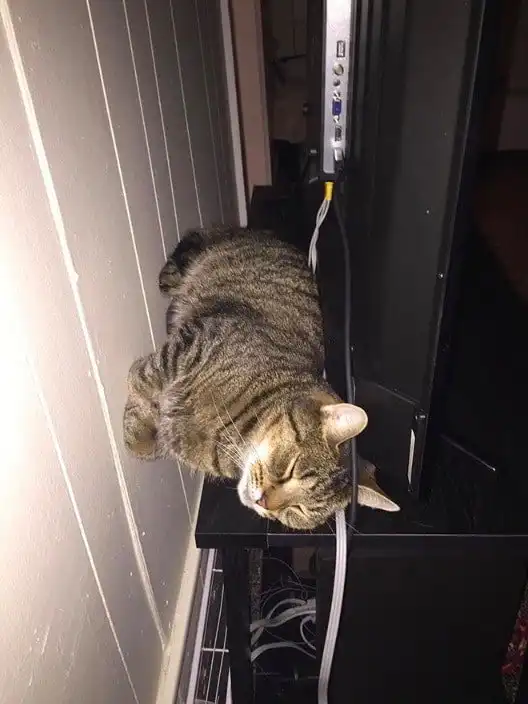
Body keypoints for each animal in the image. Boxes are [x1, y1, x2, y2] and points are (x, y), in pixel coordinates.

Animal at [123, 228, 399, 529]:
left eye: (299, 510)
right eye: (291, 469)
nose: (265, 503)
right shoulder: (197, 339)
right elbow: (145, 376)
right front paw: (139, 435)